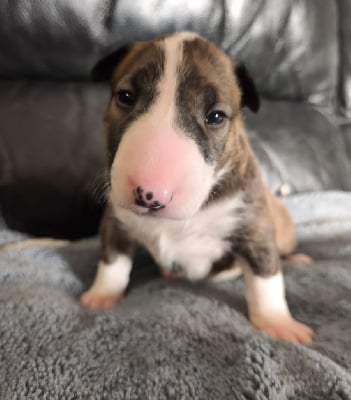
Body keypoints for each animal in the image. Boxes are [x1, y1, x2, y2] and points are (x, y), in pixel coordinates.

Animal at [81, 32, 314, 344]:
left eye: (216, 116)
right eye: (125, 97)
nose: (150, 195)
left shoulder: (254, 225)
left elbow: (266, 275)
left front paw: (277, 321)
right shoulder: (116, 220)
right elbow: (113, 261)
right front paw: (102, 295)